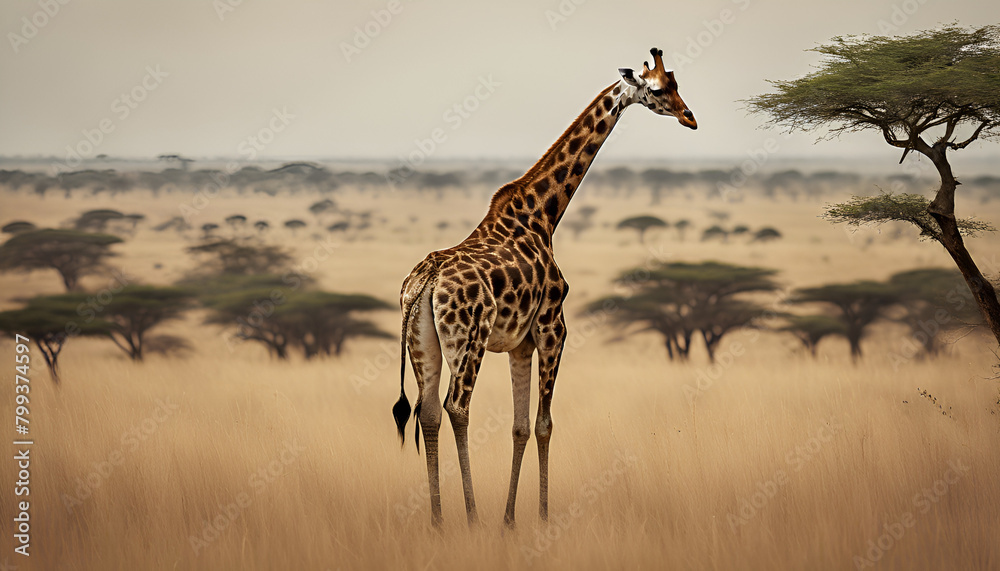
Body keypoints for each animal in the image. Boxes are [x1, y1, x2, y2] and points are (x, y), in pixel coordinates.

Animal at [393, 48, 697, 528]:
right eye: (657, 88)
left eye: (677, 83)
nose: (690, 117)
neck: (543, 214)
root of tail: (427, 280)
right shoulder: (553, 327)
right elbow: (544, 423)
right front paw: (542, 516)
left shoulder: (519, 342)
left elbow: (519, 426)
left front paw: (510, 521)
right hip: (469, 339)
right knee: (456, 407)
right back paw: (472, 517)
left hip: (424, 342)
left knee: (427, 412)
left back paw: (439, 522)